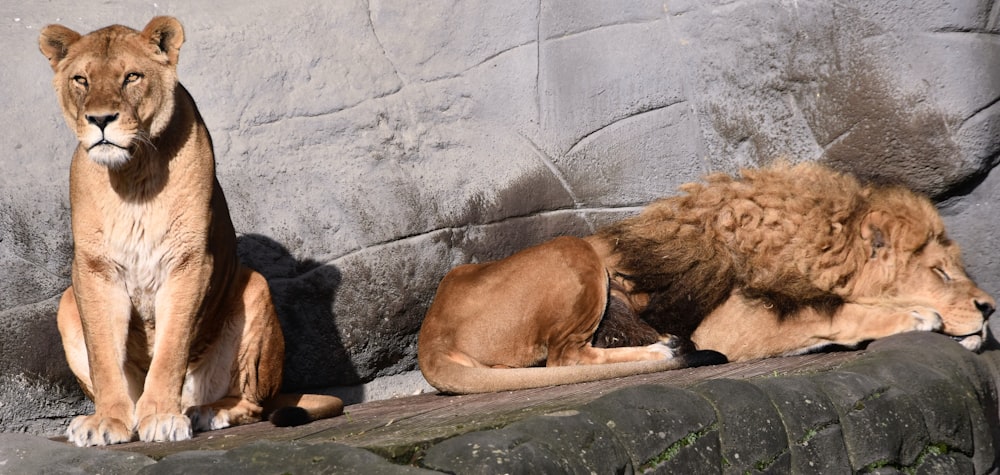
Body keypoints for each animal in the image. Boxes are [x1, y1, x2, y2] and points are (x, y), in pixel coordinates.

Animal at [41, 14, 344, 446]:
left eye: (131, 77)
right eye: (81, 80)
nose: (100, 120)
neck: (133, 177)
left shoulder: (189, 261)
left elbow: (171, 348)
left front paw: (161, 416)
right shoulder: (95, 269)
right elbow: (104, 356)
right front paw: (107, 421)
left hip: (255, 289)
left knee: (253, 405)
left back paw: (204, 412)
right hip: (67, 301)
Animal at [416, 164, 992, 394]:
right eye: (940, 271)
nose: (990, 309)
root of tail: (429, 335)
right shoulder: (729, 321)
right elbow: (835, 310)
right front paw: (916, 315)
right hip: (572, 250)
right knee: (565, 358)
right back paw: (667, 348)